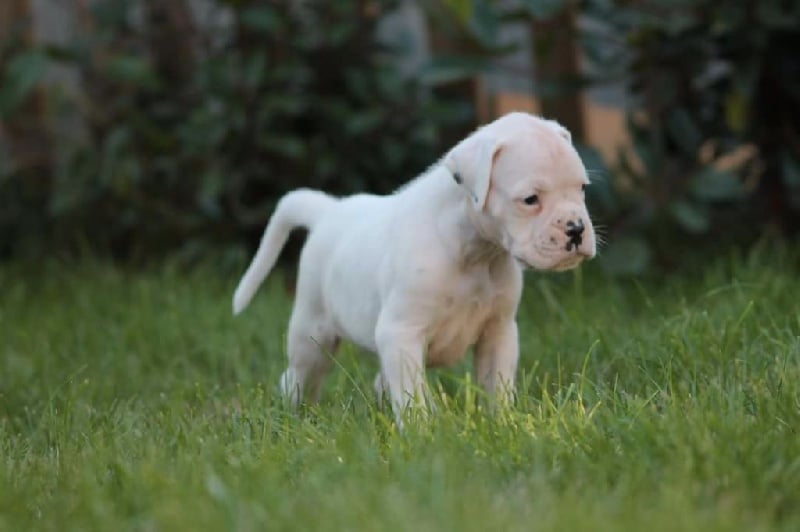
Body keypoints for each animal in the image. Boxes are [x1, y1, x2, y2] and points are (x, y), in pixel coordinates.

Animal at [231, 112, 592, 418]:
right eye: (530, 199)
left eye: (582, 188)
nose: (576, 229)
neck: (473, 250)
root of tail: (328, 211)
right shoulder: (401, 333)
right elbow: (412, 397)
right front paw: (422, 433)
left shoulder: (498, 332)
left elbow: (496, 387)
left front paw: (503, 424)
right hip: (312, 332)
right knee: (299, 377)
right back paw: (296, 415)